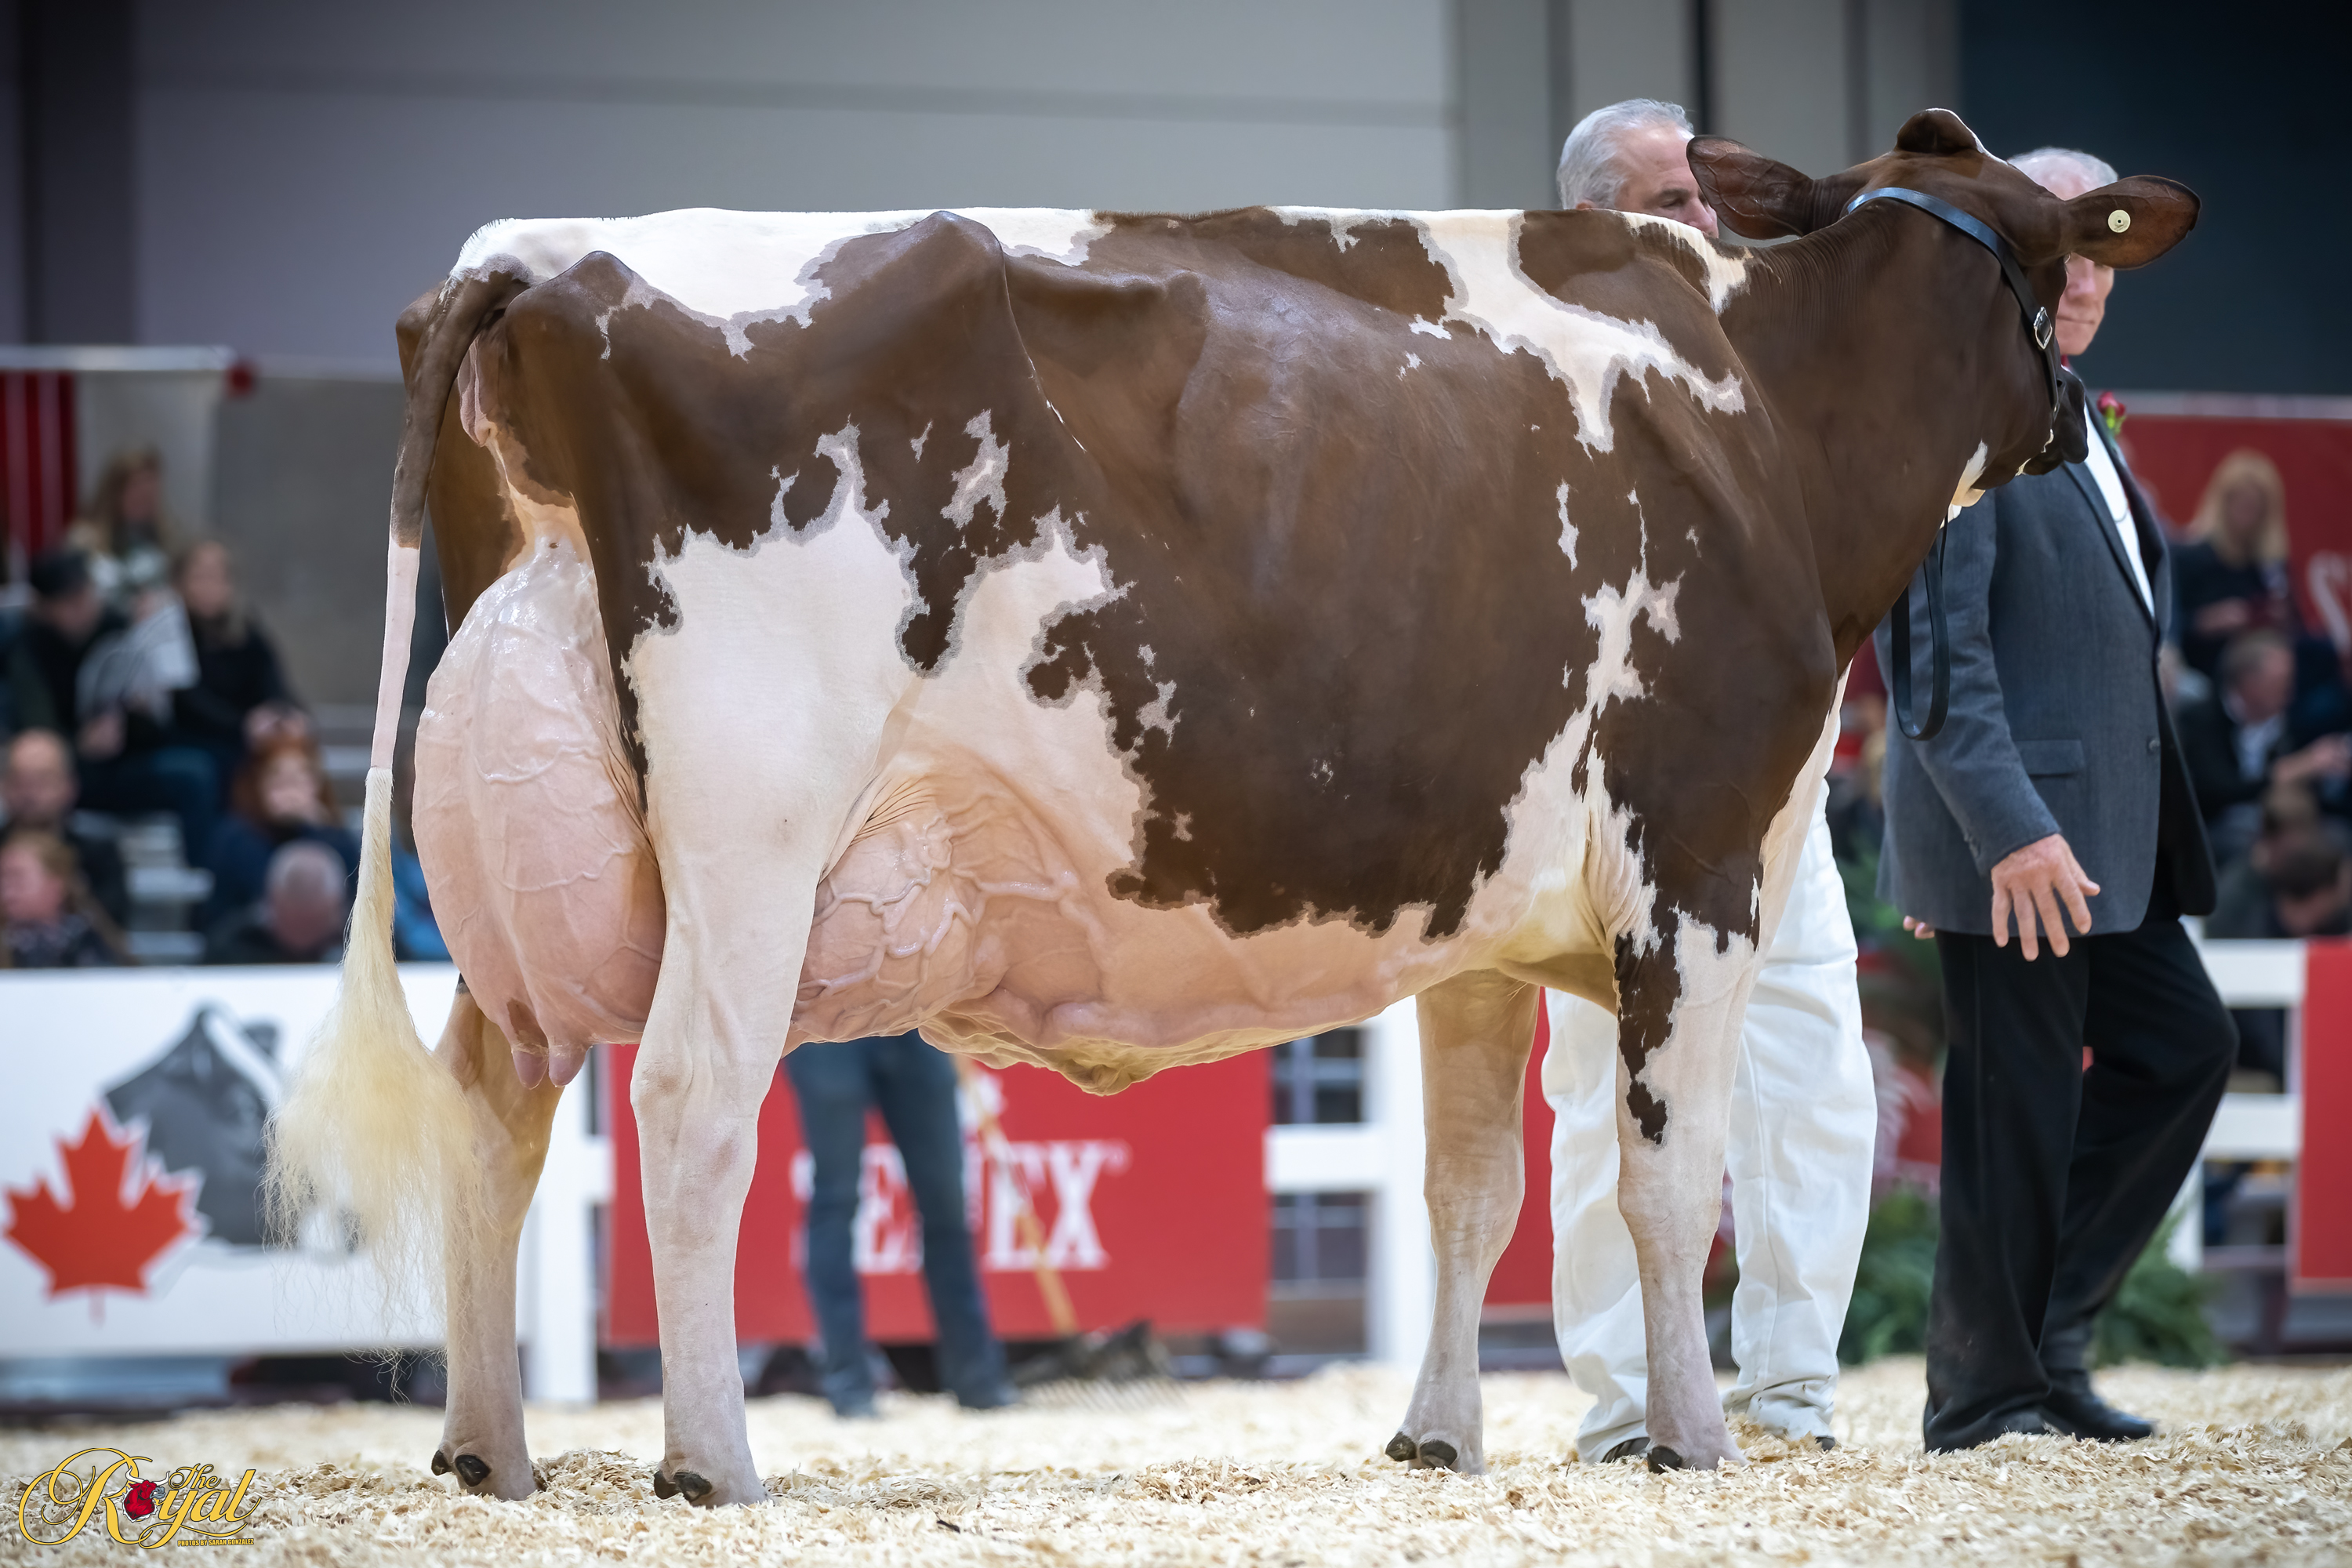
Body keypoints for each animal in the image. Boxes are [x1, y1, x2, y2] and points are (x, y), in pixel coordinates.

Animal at [268, 109, 2195, 1506]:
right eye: (2056, 270)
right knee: (687, 1106)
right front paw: (1696, 1440)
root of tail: (538, 256)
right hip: (749, 832)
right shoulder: (1702, 859)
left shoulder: (1481, 920)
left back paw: (489, 1450)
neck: (1766, 419)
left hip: (533, 860)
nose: (2093, 406)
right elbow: (1669, 1177)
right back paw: (710, 1459)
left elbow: (1471, 1186)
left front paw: (1438, 1435)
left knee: (496, 1104)